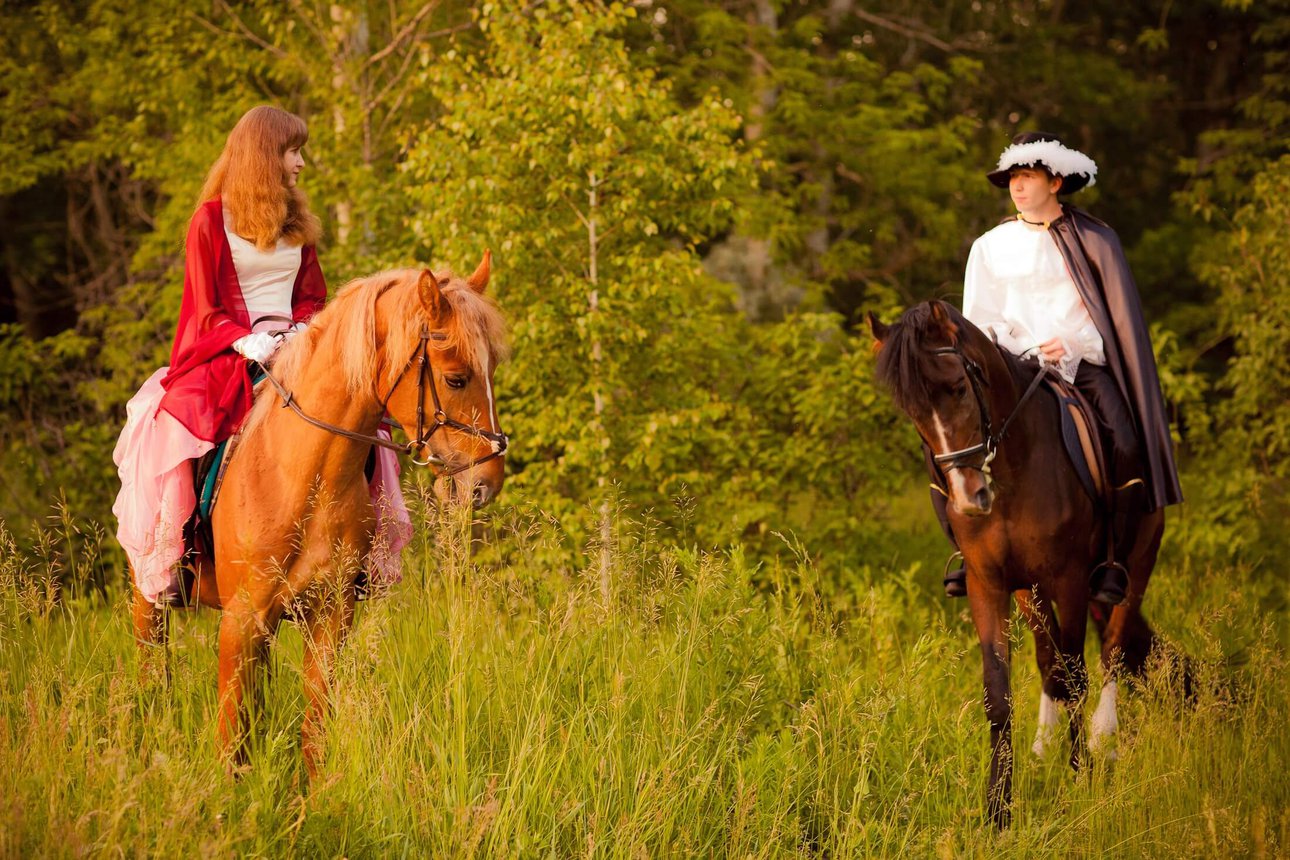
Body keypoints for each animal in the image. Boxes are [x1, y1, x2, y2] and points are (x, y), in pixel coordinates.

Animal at [132, 255, 508, 773]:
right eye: (456, 378)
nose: (486, 482)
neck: (303, 475)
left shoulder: (330, 616)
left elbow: (314, 731)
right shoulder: (241, 621)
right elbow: (231, 737)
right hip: (150, 598)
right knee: (152, 674)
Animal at [872, 301, 1166, 825]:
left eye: (958, 386)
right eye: (912, 412)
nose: (969, 499)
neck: (1015, 466)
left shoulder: (1070, 580)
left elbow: (1078, 675)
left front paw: (1080, 776)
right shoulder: (988, 584)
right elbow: (1000, 692)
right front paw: (998, 809)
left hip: (1138, 560)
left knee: (1110, 647)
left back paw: (1104, 741)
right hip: (1030, 592)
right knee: (1049, 661)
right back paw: (1043, 749)